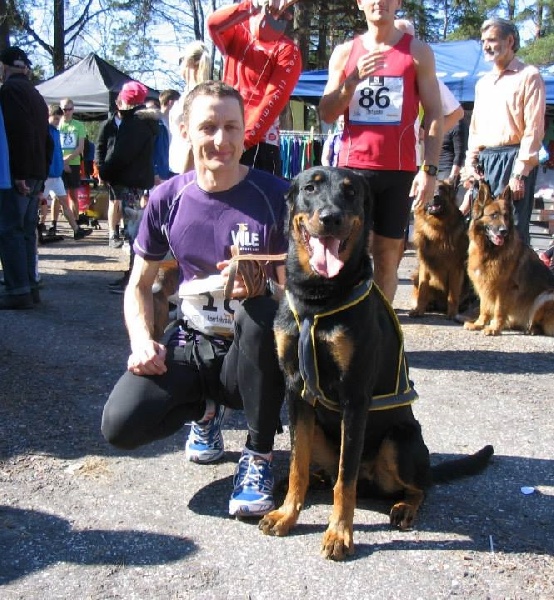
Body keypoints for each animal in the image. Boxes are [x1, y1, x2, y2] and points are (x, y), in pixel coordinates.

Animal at [408, 178, 468, 318]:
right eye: (430, 189)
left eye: (442, 189)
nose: (435, 196)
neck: (437, 228)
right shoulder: (425, 264)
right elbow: (423, 290)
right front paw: (419, 310)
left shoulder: (455, 267)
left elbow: (453, 294)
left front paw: (452, 313)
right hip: (416, 275)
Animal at [462, 180, 552, 336]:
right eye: (493, 215)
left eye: (505, 216)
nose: (503, 231)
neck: (490, 252)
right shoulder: (485, 283)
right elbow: (484, 308)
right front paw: (479, 324)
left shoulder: (504, 289)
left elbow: (499, 310)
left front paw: (494, 328)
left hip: (545, 297)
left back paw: (532, 329)